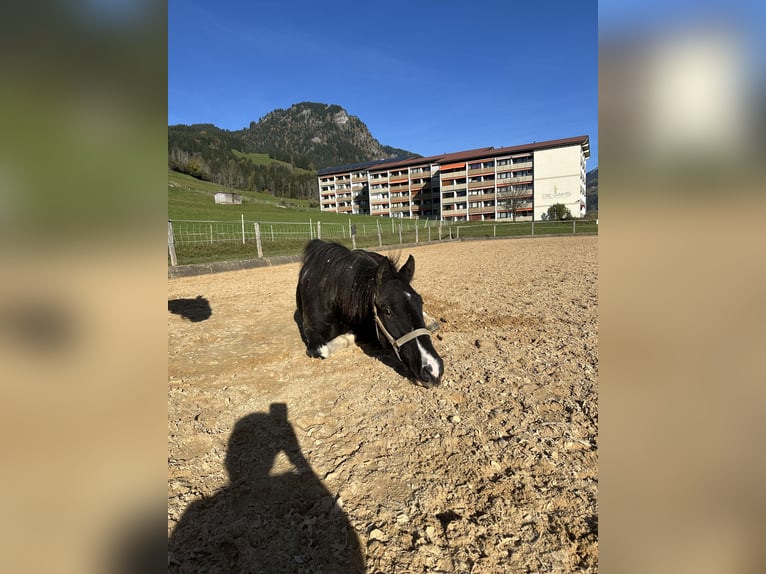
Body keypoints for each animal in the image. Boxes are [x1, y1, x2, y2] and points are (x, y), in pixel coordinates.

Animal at [298, 238, 448, 388]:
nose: (433, 370)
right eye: (387, 311)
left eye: (420, 302)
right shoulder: (311, 332)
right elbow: (323, 350)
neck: (332, 294)